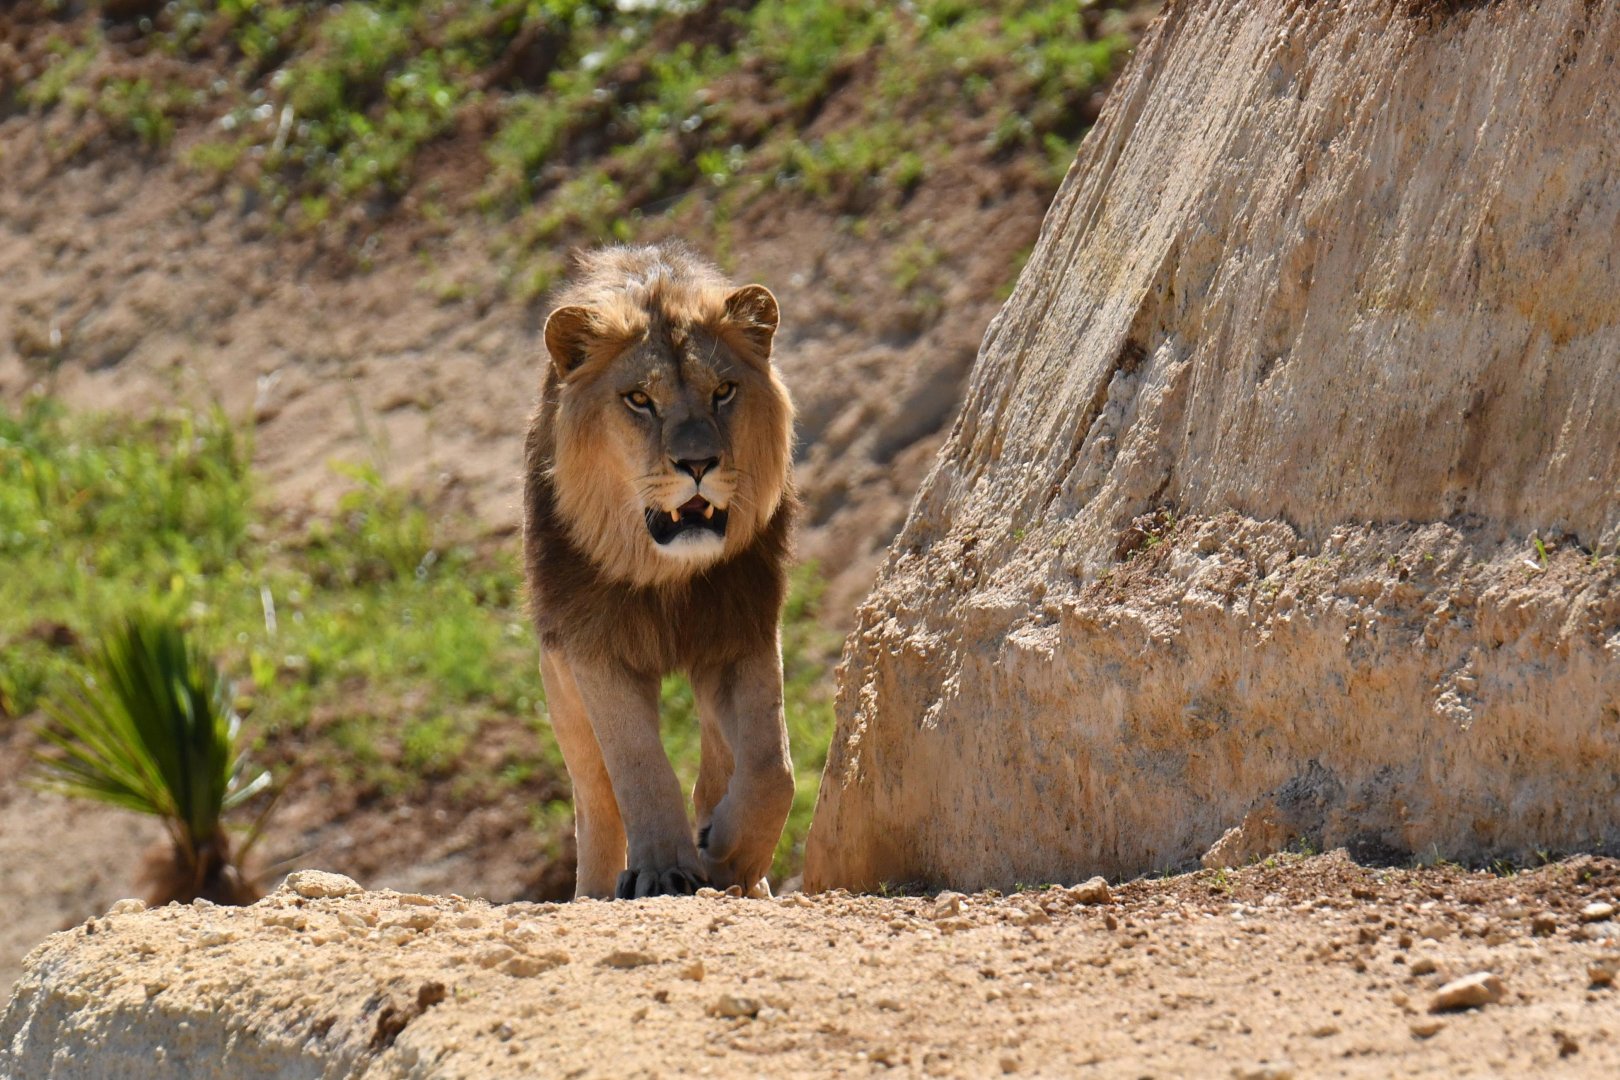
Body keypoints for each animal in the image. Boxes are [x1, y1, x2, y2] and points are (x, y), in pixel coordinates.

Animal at [522, 242, 798, 900]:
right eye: (639, 400)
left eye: (723, 391)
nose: (698, 463)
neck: (666, 574)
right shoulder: (593, 646)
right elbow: (638, 764)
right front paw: (665, 869)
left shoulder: (743, 629)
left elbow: (770, 766)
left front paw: (728, 855)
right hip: (558, 683)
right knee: (595, 800)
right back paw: (596, 890)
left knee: (722, 764)